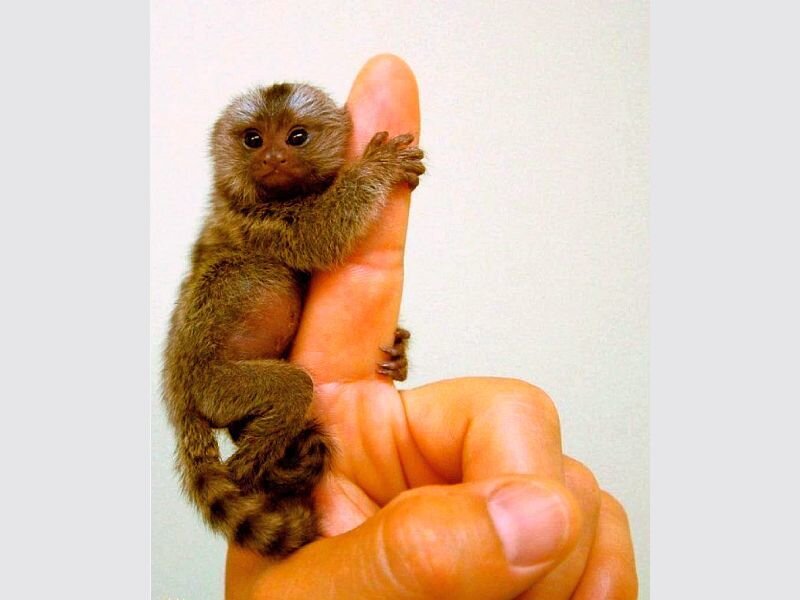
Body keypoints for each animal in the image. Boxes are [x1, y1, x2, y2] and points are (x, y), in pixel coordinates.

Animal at [162, 82, 424, 557]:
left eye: (296, 137)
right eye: (254, 140)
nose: (272, 158)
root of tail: (178, 397)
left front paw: (399, 353)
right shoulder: (260, 221)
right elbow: (319, 234)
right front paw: (377, 167)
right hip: (215, 388)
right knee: (291, 387)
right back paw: (254, 467)